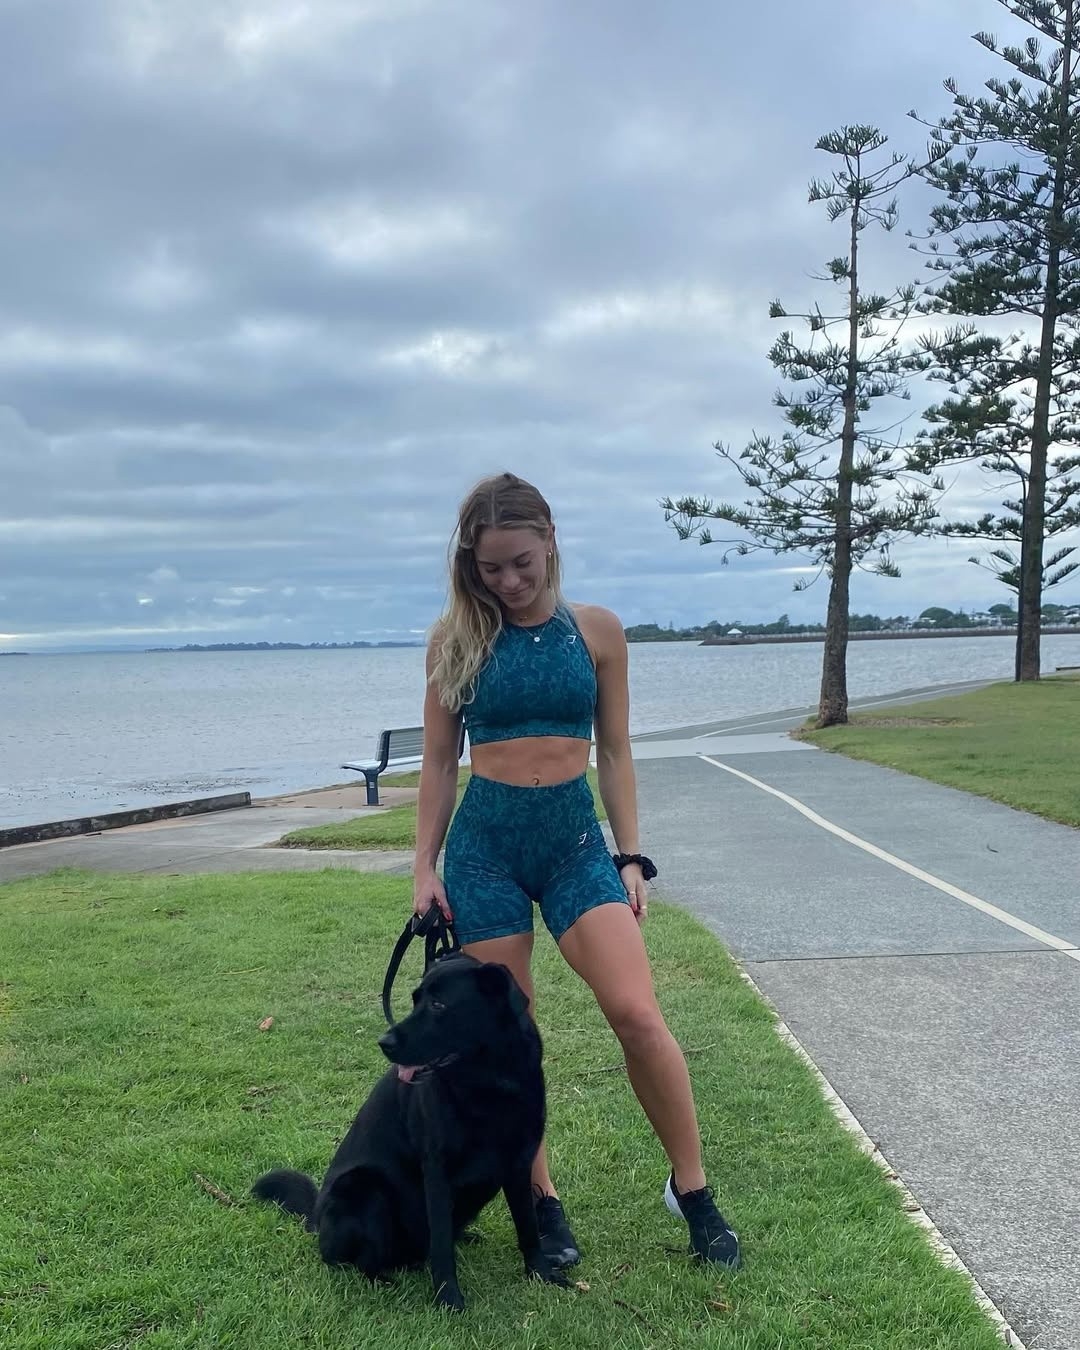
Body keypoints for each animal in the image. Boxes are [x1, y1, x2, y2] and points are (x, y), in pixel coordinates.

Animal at [251, 952, 571, 1312]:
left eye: (438, 1004)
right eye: (415, 1000)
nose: (384, 1042)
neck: (489, 1083)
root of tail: (316, 1218)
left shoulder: (519, 1164)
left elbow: (527, 1226)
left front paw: (541, 1273)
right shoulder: (437, 1173)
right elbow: (442, 1246)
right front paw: (449, 1299)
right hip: (364, 1188)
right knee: (352, 1260)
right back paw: (382, 1279)